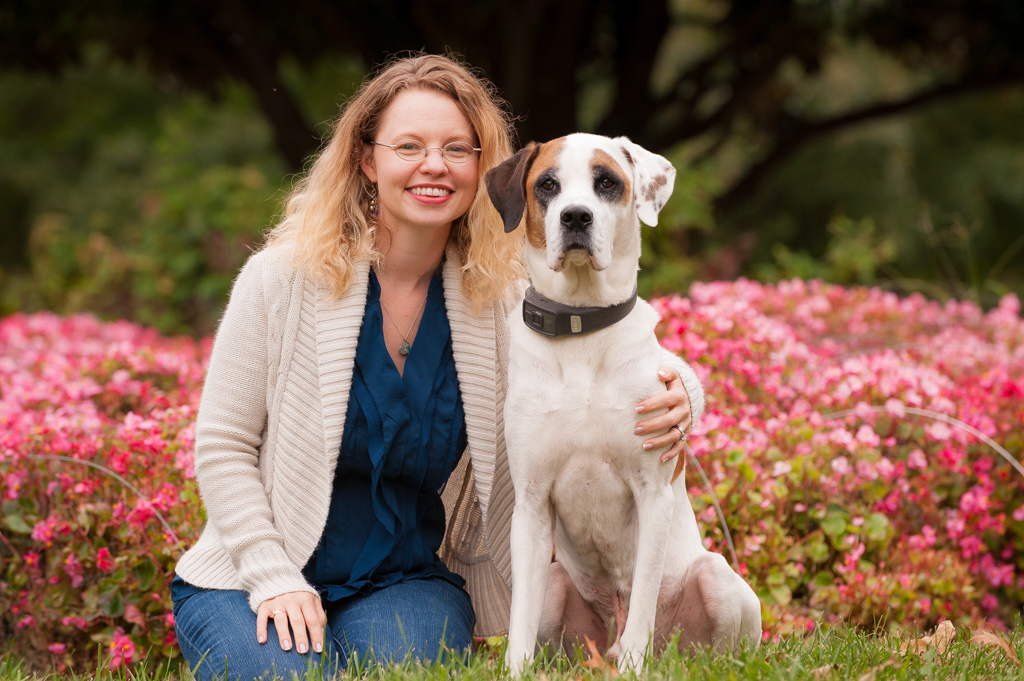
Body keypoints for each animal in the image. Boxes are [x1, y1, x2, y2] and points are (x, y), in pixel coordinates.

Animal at [485, 133, 762, 675]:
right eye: (547, 185)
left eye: (607, 182)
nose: (575, 217)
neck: (581, 328)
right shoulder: (531, 503)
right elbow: (520, 619)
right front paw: (515, 671)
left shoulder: (652, 493)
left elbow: (643, 602)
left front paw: (635, 667)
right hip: (556, 585)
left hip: (719, 579)